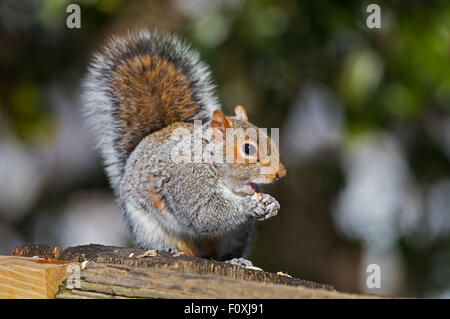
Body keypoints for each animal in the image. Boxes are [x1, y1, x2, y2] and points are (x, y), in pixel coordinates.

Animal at [81, 30, 284, 264]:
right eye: (248, 149)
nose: (280, 173)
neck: (211, 162)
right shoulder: (188, 182)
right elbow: (205, 213)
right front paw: (250, 206)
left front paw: (272, 204)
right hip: (144, 224)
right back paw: (166, 248)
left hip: (237, 234)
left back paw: (234, 259)